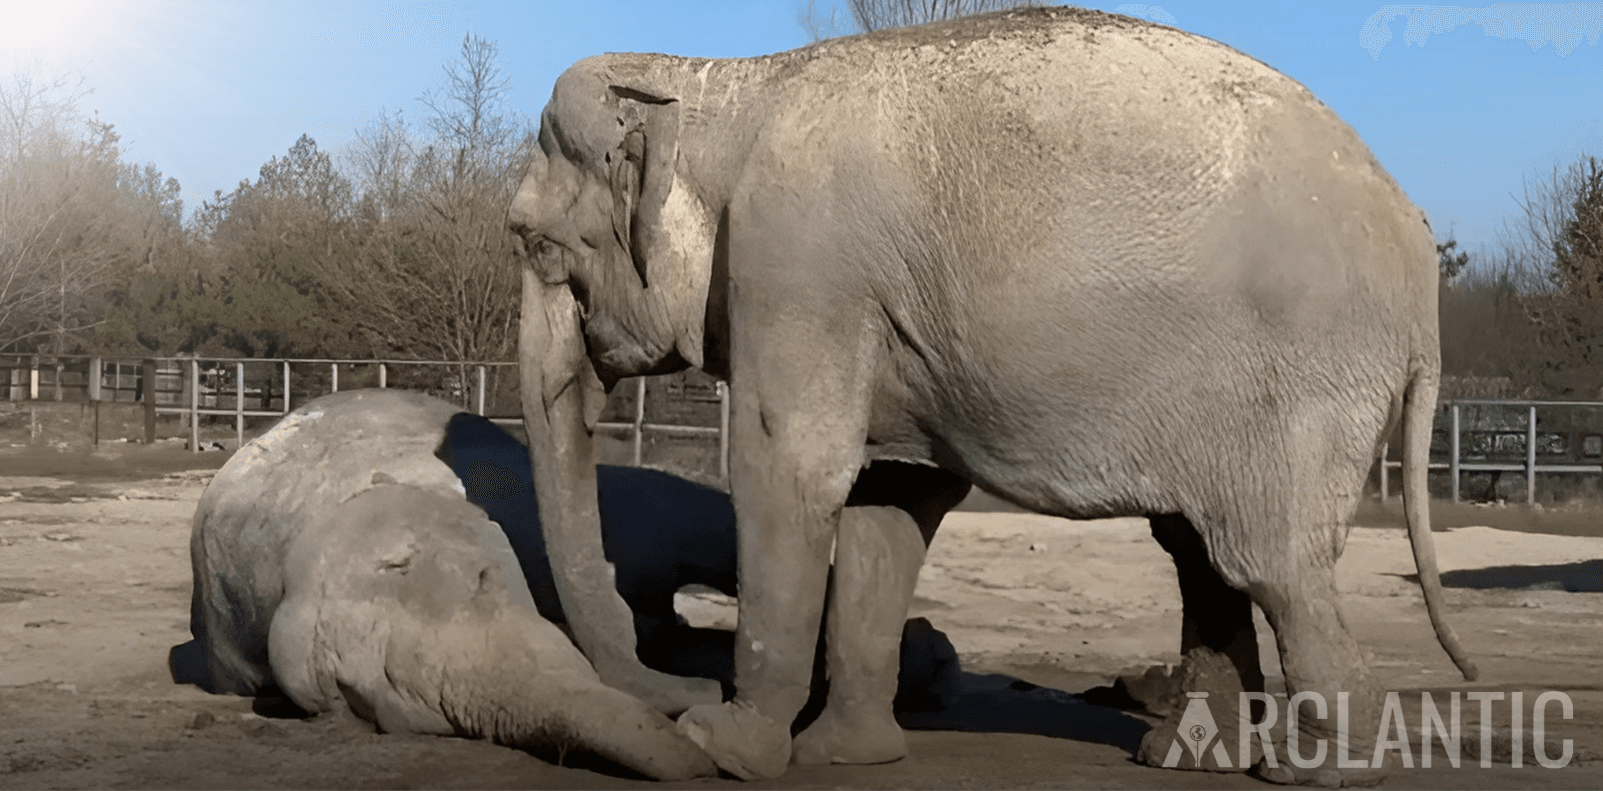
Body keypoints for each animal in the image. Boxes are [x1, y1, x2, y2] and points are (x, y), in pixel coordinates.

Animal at [504, 5, 1476, 785]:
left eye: (533, 244)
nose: (681, 683)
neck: (723, 87)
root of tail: (1416, 251)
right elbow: (889, 497)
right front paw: (845, 756)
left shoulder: (797, 271)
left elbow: (790, 470)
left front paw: (726, 747)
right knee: (1198, 550)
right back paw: (1187, 757)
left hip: (1303, 384)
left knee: (1270, 563)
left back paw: (1317, 772)